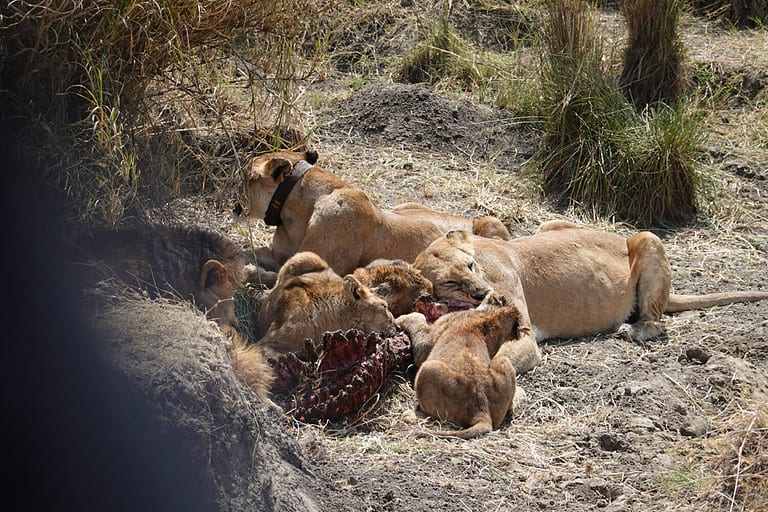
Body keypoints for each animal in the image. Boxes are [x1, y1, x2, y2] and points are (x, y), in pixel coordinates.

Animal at [232, 149, 510, 285]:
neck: (292, 215)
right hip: (404, 205)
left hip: (491, 222)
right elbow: (255, 252)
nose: (231, 202)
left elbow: (273, 275)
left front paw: (248, 271)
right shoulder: (280, 253)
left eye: (244, 176)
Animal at [396, 292, 525, 439]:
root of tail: (481, 410)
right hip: (504, 361)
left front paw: (397, 319)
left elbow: (416, 318)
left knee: (434, 415)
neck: (490, 318)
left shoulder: (426, 343)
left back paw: (410, 415)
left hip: (428, 368)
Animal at [413, 221, 768, 375]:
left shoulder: (525, 333)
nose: (483, 293)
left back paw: (629, 331)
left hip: (647, 238)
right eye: (449, 281)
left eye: (470, 265)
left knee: (656, 321)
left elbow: (506, 359)